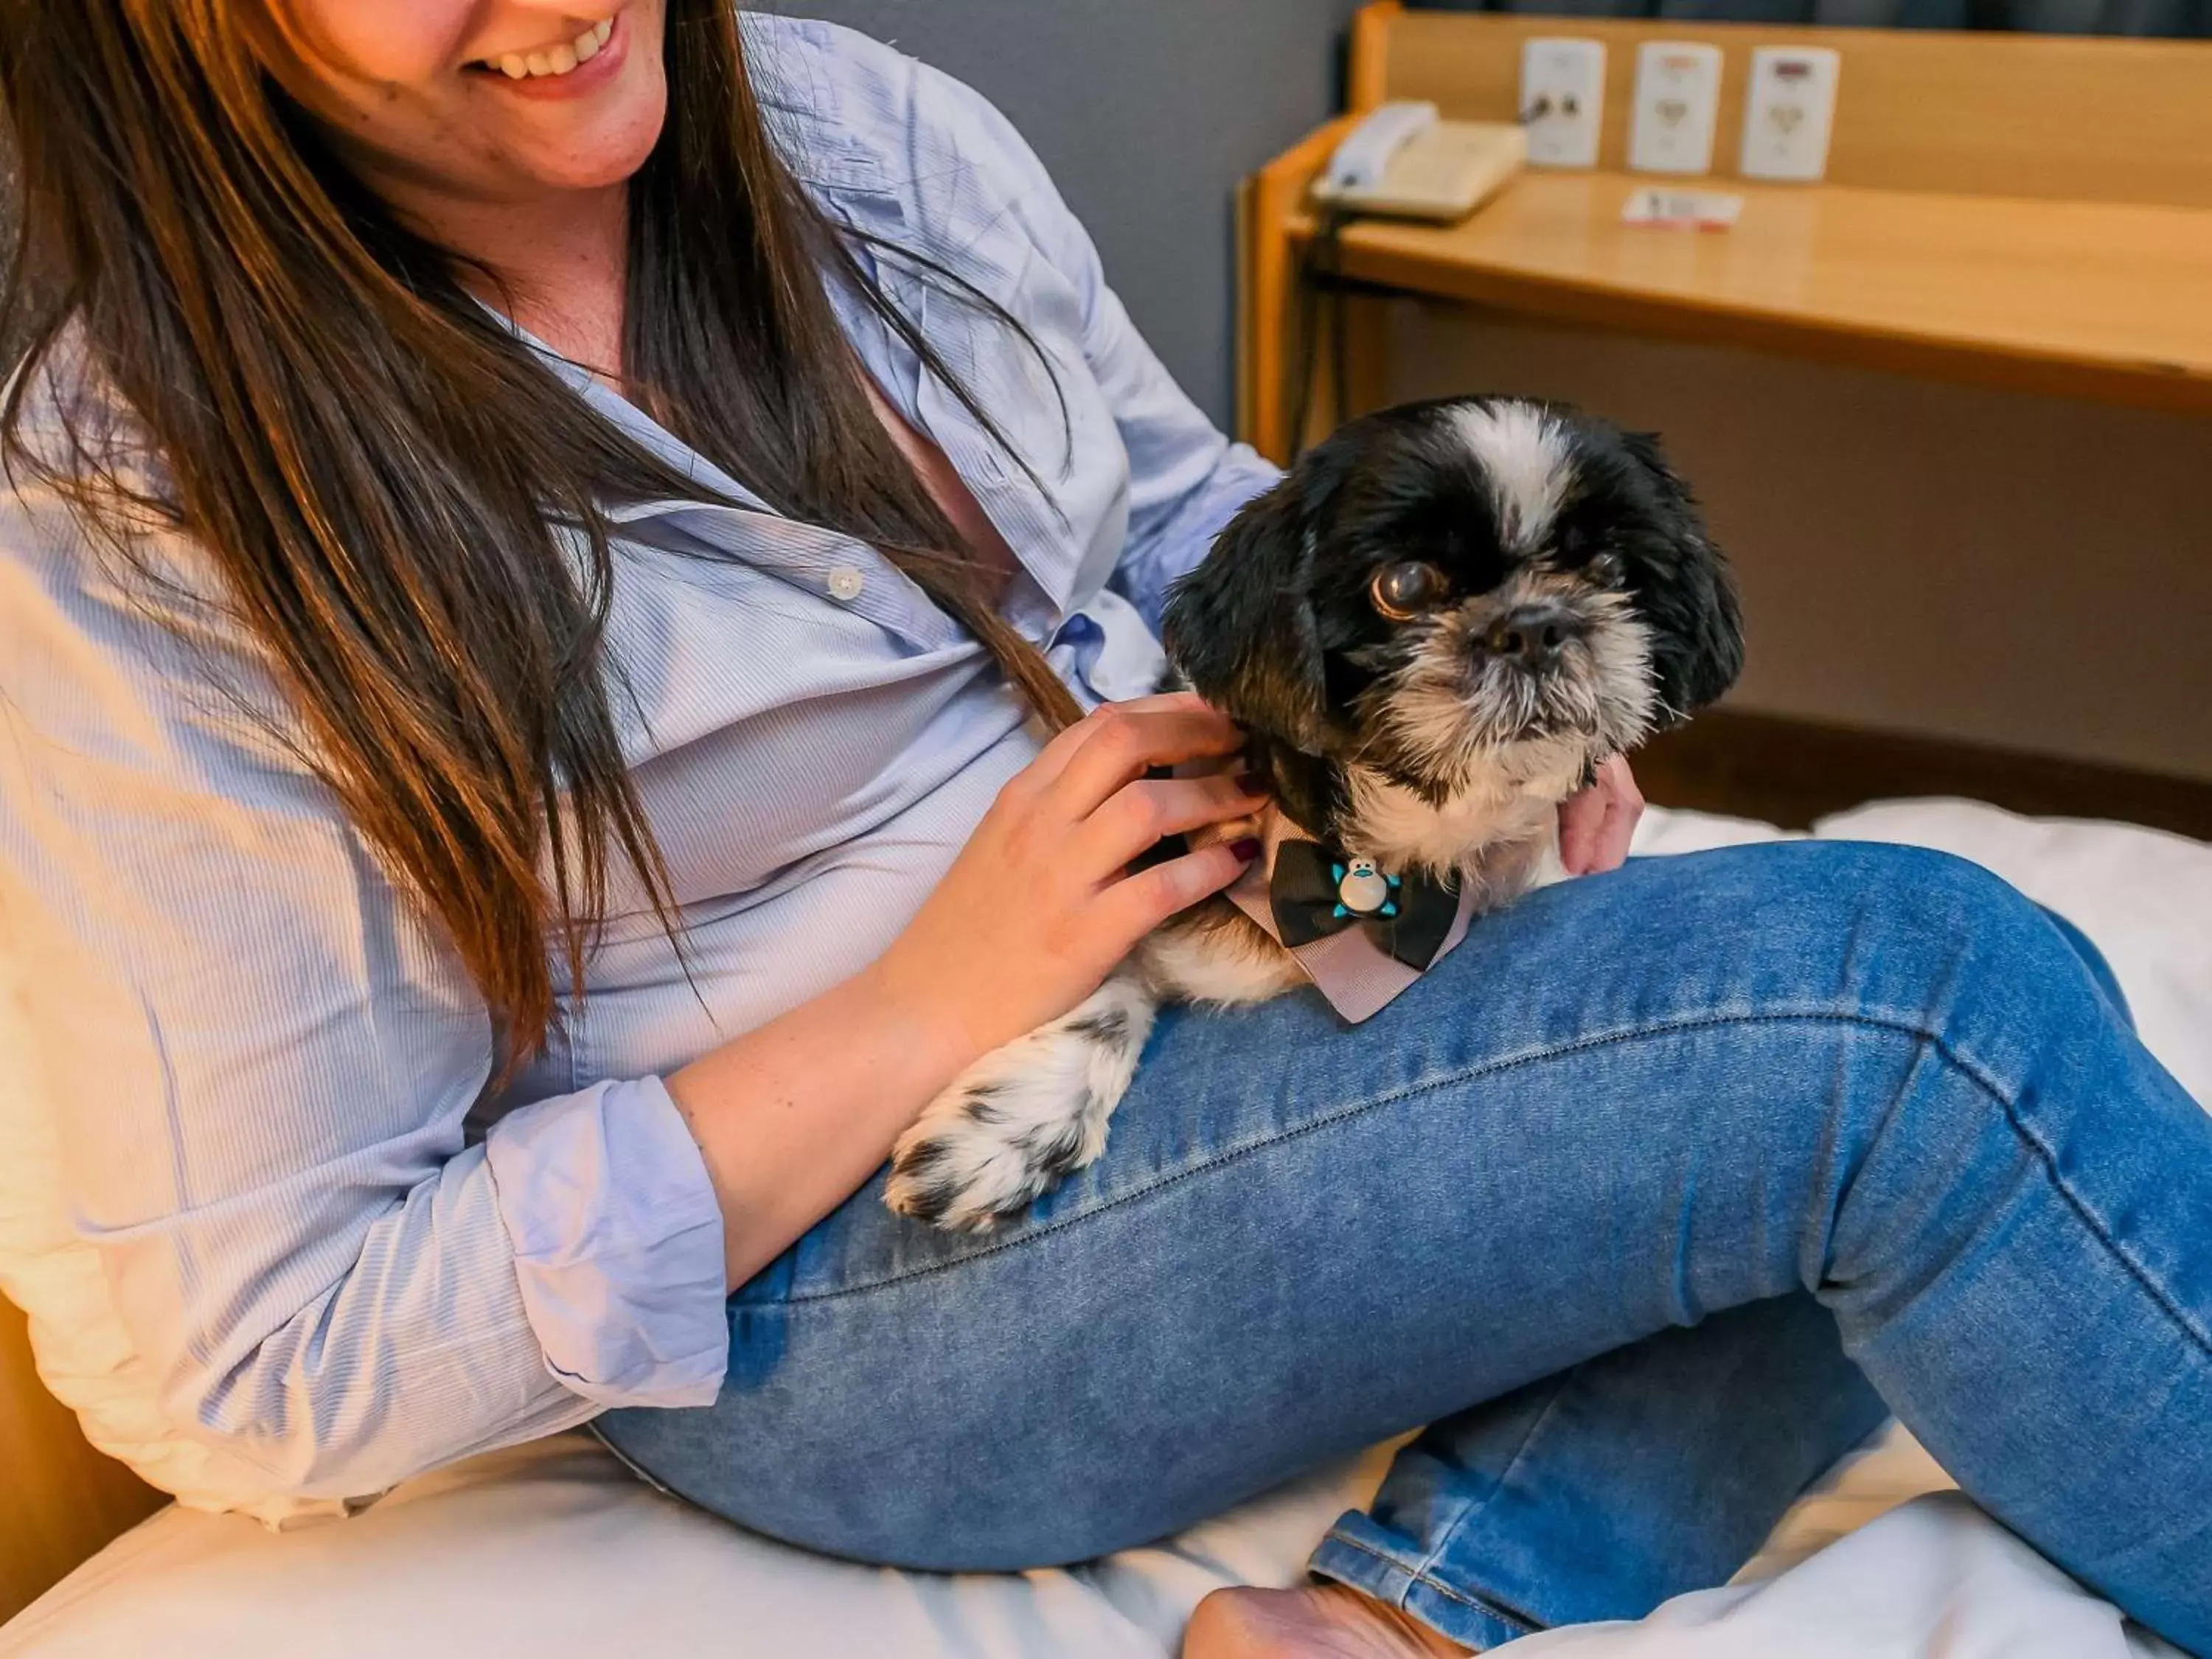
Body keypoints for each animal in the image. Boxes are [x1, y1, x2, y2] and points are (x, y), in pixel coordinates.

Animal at [880, 396, 1743, 1239]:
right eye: (1404, 585)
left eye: (1610, 569)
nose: (1533, 626)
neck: (1386, 859)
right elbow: (1107, 975)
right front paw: (1009, 1129)